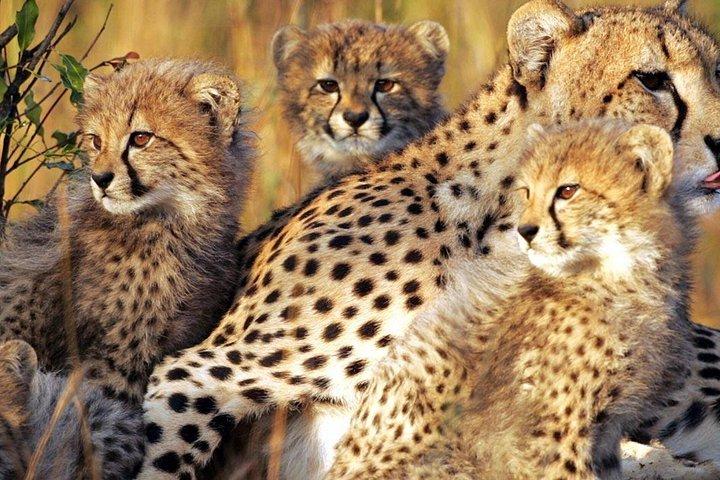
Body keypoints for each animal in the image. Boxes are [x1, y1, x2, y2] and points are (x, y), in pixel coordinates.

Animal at [325, 119, 695, 480]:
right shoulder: (554, 433)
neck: (615, 274)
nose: (525, 231)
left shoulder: (605, 433)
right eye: (526, 192)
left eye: (568, 191)